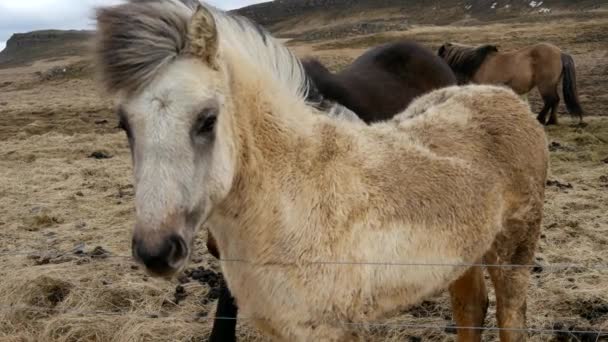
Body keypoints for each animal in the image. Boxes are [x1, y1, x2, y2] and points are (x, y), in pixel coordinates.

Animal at [436, 41, 584, 125]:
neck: (476, 64)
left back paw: (541, 120)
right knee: (555, 101)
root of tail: (560, 53)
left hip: (545, 85)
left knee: (551, 100)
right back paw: (552, 121)